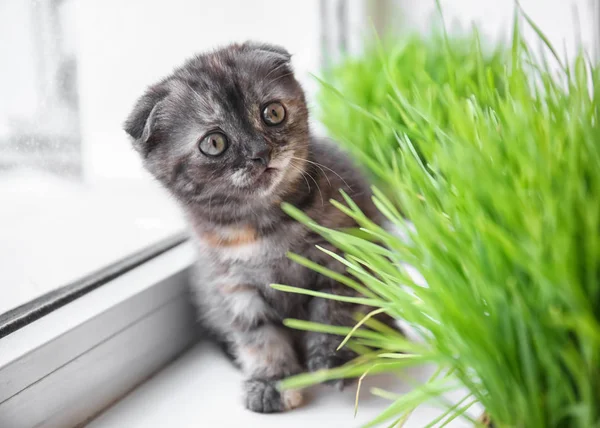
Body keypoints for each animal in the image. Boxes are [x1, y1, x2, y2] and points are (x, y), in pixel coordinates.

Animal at [123, 41, 382, 412]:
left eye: (272, 113)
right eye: (214, 143)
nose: (261, 152)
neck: (263, 223)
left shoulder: (340, 255)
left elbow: (333, 312)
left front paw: (333, 361)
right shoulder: (234, 284)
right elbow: (258, 335)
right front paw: (271, 381)